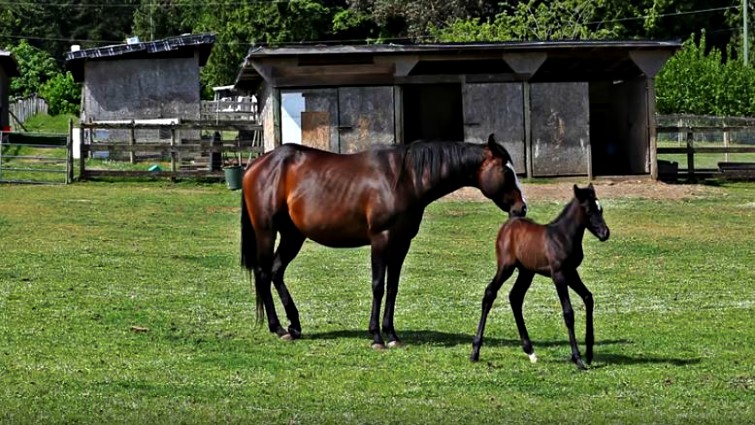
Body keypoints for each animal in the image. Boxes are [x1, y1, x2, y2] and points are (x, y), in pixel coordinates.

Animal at [240, 134, 528, 349]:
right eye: (506, 171)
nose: (521, 208)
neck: (405, 179)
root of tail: (256, 165)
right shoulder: (381, 239)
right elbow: (378, 286)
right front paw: (376, 336)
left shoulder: (401, 244)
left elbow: (393, 288)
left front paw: (392, 335)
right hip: (266, 232)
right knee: (263, 273)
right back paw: (277, 327)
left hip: (293, 235)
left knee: (276, 272)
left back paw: (294, 325)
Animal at [470, 183, 609, 369]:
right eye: (588, 210)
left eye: (600, 209)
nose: (605, 233)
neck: (563, 237)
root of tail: (508, 225)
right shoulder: (558, 275)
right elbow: (568, 313)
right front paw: (578, 359)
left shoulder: (571, 272)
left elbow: (588, 297)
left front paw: (589, 353)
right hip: (506, 267)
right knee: (490, 293)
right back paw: (475, 351)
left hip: (526, 272)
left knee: (515, 297)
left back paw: (530, 351)